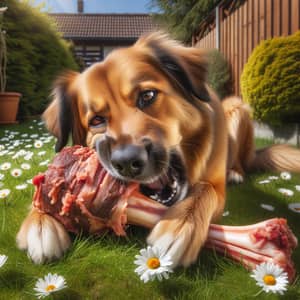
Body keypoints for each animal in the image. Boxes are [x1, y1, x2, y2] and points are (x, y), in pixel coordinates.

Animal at [15, 32, 300, 264]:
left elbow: (203, 190)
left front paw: (178, 225)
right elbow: (40, 195)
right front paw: (39, 223)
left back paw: (236, 172)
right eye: (96, 120)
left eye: (148, 96)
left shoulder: (214, 187)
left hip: (235, 107)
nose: (126, 162)